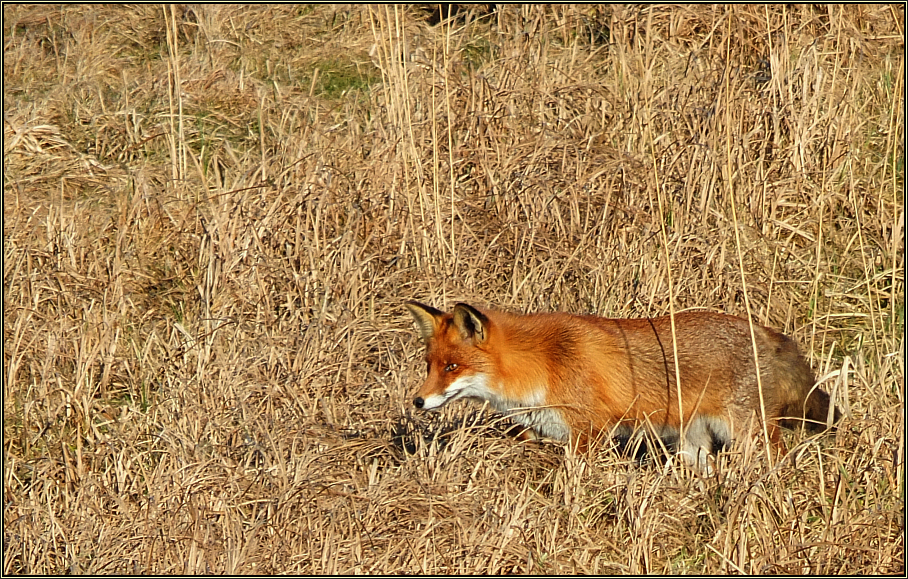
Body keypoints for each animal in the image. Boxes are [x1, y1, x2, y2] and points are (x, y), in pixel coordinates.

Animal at [408, 302, 840, 468]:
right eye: (430, 366)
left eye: (452, 367)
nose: (417, 402)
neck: (543, 363)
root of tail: (765, 331)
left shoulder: (589, 433)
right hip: (693, 445)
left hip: (750, 434)